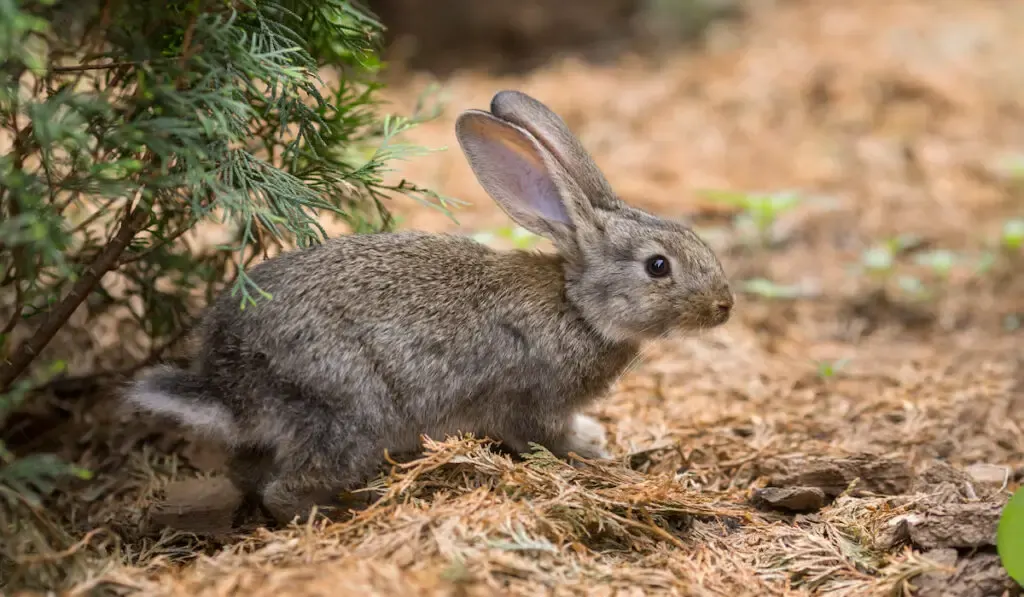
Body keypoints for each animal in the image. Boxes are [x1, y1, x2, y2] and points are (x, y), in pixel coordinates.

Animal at [123, 88, 733, 524]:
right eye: (658, 266)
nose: (724, 306)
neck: (577, 307)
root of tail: (230, 380)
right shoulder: (530, 400)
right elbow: (542, 437)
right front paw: (588, 449)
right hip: (350, 413)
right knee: (285, 491)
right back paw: (353, 510)